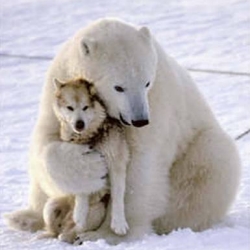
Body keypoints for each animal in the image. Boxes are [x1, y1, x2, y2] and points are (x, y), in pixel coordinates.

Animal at [46, 79, 129, 239]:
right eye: (70, 108)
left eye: (85, 107)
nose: (79, 124)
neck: (90, 138)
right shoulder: (82, 163)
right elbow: (83, 187)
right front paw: (80, 211)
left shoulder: (116, 162)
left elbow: (118, 194)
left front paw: (119, 223)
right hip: (51, 206)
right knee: (59, 230)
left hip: (98, 211)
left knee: (73, 231)